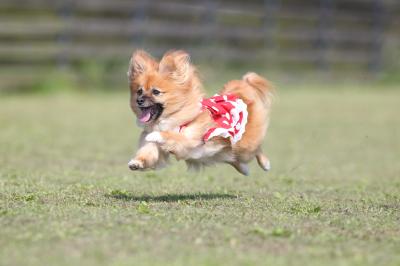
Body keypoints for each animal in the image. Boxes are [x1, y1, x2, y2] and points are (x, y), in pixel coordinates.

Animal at [126, 50, 274, 176]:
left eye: (156, 92)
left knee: (256, 149)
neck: (170, 118)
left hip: (244, 146)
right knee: (234, 158)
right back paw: (245, 169)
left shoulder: (190, 139)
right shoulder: (155, 148)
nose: (139, 100)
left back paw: (265, 164)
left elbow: (170, 135)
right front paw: (136, 163)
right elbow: (147, 154)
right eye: (139, 91)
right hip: (225, 152)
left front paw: (155, 135)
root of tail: (241, 93)